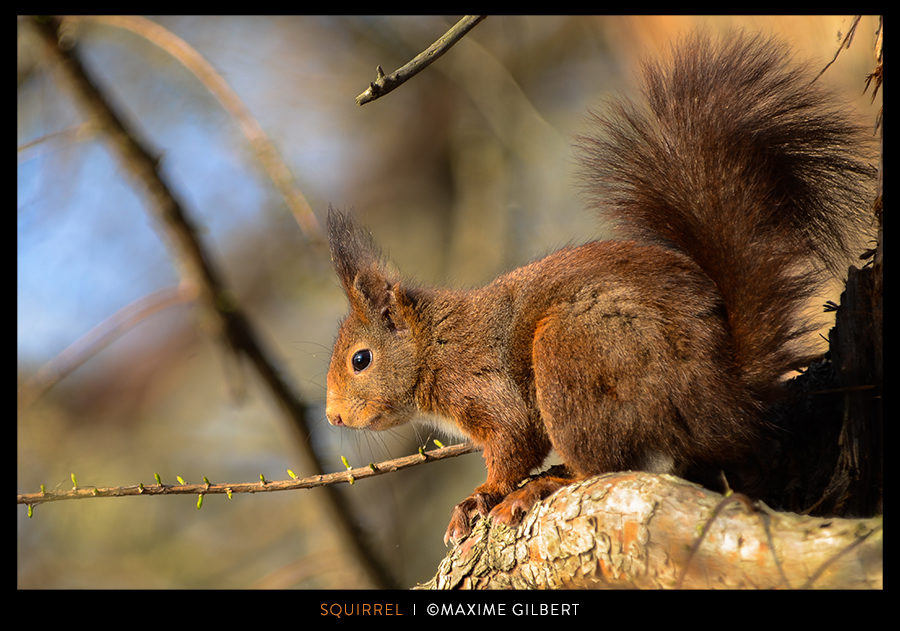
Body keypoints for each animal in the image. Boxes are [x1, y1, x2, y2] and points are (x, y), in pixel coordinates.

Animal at [324, 33, 874, 545]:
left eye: (360, 360)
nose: (333, 418)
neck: (433, 344)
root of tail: (723, 396)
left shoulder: (483, 384)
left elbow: (514, 440)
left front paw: (484, 494)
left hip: (573, 355)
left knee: (602, 465)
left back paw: (543, 486)